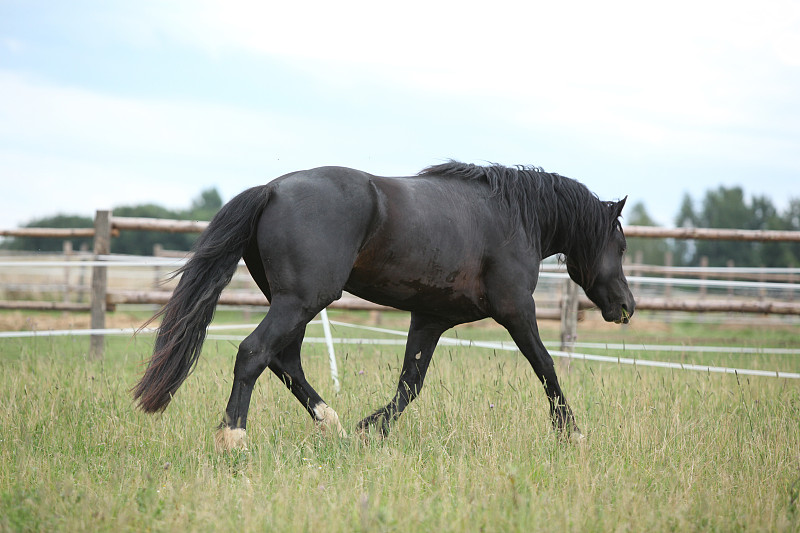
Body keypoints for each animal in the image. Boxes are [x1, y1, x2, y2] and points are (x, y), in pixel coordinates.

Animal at [136, 160, 636, 446]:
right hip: (301, 300)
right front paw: (572, 434)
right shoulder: (516, 309)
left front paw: (370, 431)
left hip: (294, 302)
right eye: (621, 245)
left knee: (285, 360)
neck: (514, 216)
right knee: (255, 353)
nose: (627, 307)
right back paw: (234, 438)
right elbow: (546, 367)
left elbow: (410, 384)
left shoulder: (430, 318)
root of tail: (272, 189)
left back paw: (334, 426)